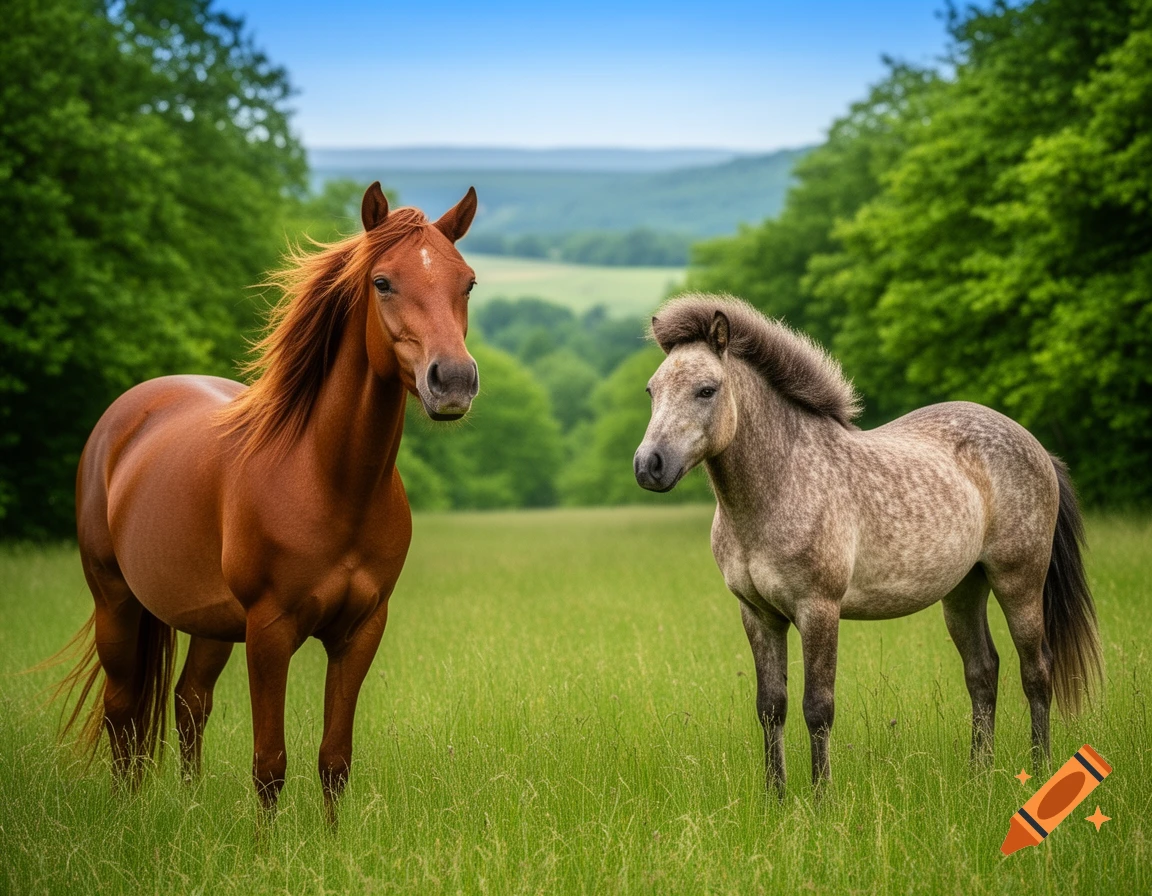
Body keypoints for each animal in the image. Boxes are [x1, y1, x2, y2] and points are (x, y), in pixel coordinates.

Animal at [56, 183, 480, 819]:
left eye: (467, 282)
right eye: (382, 282)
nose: (452, 381)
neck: (329, 481)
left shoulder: (360, 632)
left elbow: (334, 761)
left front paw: (331, 841)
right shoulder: (270, 632)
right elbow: (270, 764)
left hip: (207, 621)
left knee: (189, 701)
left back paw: (190, 808)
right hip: (116, 602)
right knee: (123, 710)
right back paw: (124, 811)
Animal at [633, 294, 1102, 796]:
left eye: (706, 390)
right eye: (652, 390)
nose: (648, 465)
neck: (781, 484)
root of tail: (1036, 446)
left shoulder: (818, 609)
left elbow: (817, 708)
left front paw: (821, 799)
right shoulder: (758, 614)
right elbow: (771, 707)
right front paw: (775, 797)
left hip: (1019, 581)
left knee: (1036, 671)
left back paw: (1041, 771)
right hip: (964, 588)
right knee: (983, 672)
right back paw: (979, 776)